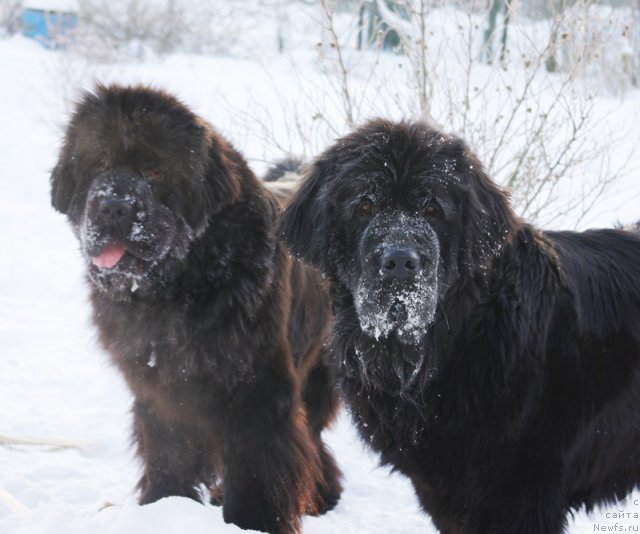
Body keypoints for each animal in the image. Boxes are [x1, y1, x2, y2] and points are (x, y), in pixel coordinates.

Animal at [50, 86, 342, 532]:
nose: (113, 206)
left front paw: (254, 521)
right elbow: (170, 453)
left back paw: (320, 498)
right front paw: (162, 504)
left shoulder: (259, 390)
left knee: (310, 436)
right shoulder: (161, 391)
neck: (178, 287)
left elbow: (261, 467)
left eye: (154, 172)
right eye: (99, 163)